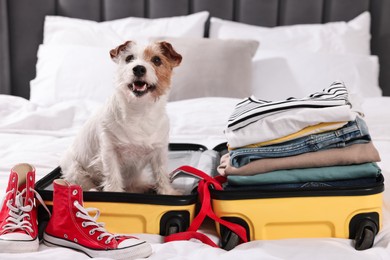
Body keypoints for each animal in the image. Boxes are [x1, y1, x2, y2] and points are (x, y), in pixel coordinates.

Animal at [61, 40, 183, 194]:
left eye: (156, 60)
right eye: (129, 58)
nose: (138, 69)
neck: (139, 111)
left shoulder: (159, 152)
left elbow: (161, 174)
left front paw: (167, 192)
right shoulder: (109, 151)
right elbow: (112, 176)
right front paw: (114, 192)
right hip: (75, 170)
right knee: (84, 182)